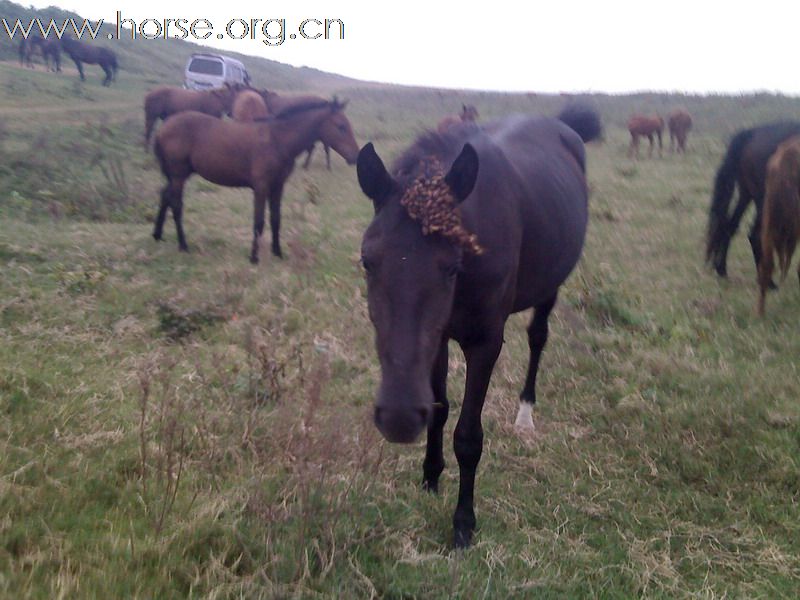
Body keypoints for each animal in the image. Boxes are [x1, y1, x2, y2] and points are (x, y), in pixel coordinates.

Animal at [153, 99, 360, 262]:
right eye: (341, 126)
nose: (355, 156)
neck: (277, 140)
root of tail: (164, 127)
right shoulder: (261, 186)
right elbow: (259, 222)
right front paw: (254, 257)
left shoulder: (278, 186)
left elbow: (276, 219)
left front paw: (278, 253)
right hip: (178, 175)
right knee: (176, 204)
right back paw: (183, 245)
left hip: (177, 175)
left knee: (165, 196)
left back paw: (157, 235)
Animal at [356, 104, 600, 548]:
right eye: (368, 260)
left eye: (452, 266)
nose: (399, 418)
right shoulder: (436, 339)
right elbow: (439, 409)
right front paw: (430, 477)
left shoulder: (485, 343)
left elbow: (468, 437)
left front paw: (463, 523)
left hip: (550, 287)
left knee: (538, 338)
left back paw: (525, 415)